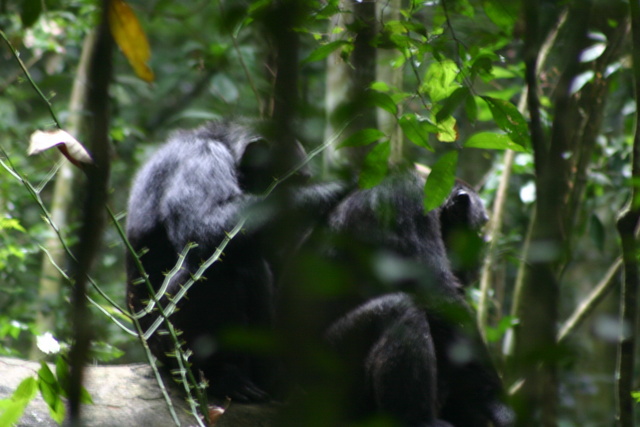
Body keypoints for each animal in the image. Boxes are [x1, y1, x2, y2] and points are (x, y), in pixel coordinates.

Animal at [124, 119, 344, 402]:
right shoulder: (201, 160)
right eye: (295, 180)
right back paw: (227, 378)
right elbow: (203, 226)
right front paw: (328, 190)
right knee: (218, 269)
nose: (307, 182)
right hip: (168, 346)